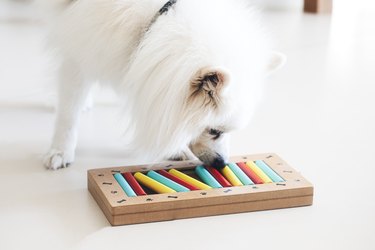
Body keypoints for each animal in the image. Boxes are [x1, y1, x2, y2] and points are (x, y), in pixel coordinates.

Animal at [42, 0, 284, 170]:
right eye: (214, 131)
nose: (222, 163)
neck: (157, 17)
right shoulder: (78, 53)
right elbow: (68, 114)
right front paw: (60, 151)